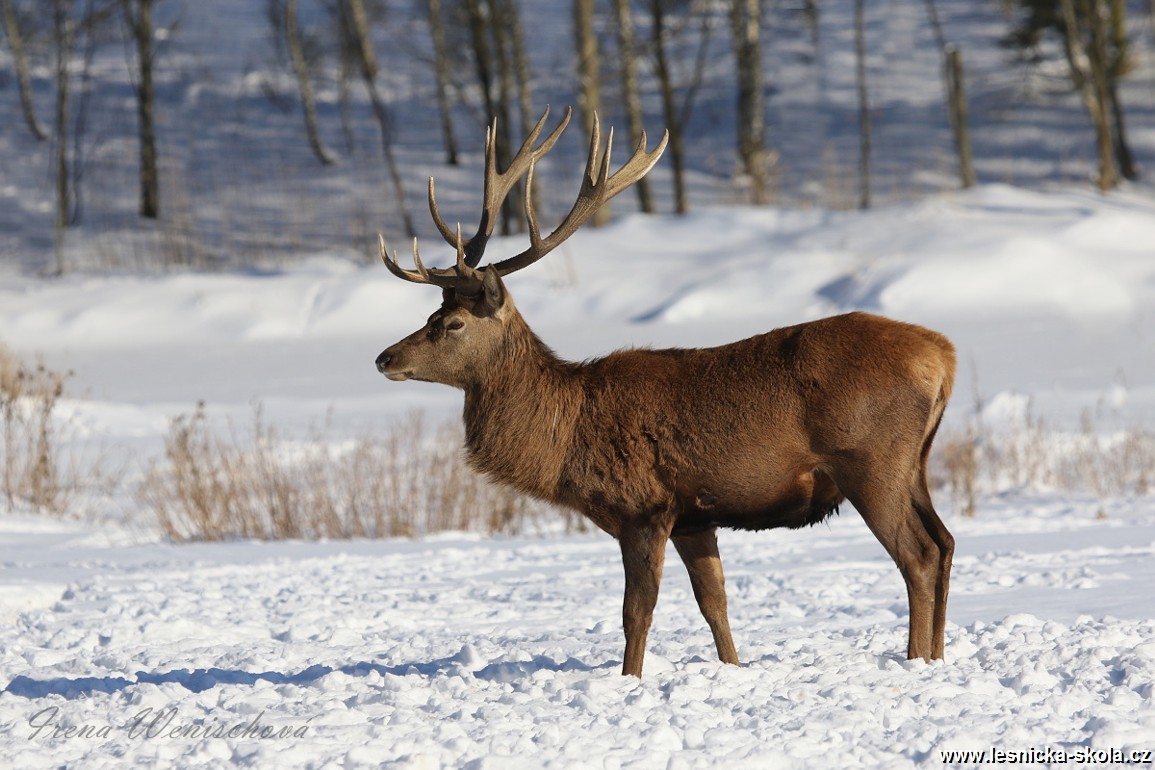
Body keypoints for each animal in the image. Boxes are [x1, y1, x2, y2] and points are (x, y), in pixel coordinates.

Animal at [376, 106, 956, 674]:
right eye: (430, 314)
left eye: (453, 323)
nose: (385, 358)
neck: (565, 437)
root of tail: (943, 355)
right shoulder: (694, 516)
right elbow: (714, 603)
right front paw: (732, 669)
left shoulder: (643, 506)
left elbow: (637, 611)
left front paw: (630, 679)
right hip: (915, 464)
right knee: (945, 542)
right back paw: (938, 656)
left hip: (870, 460)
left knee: (918, 555)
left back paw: (915, 660)